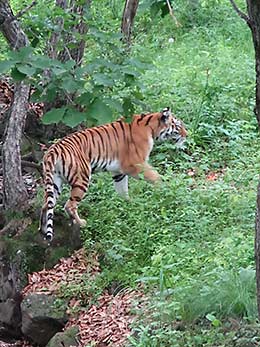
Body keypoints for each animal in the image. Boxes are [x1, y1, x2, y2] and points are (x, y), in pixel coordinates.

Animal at [38, 107, 187, 243]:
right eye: (178, 126)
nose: (187, 134)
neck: (151, 127)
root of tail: (52, 151)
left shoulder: (118, 171)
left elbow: (122, 190)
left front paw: (128, 205)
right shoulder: (136, 164)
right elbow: (156, 177)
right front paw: (164, 190)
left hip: (55, 182)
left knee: (46, 205)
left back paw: (43, 230)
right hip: (82, 178)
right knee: (69, 205)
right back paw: (83, 223)